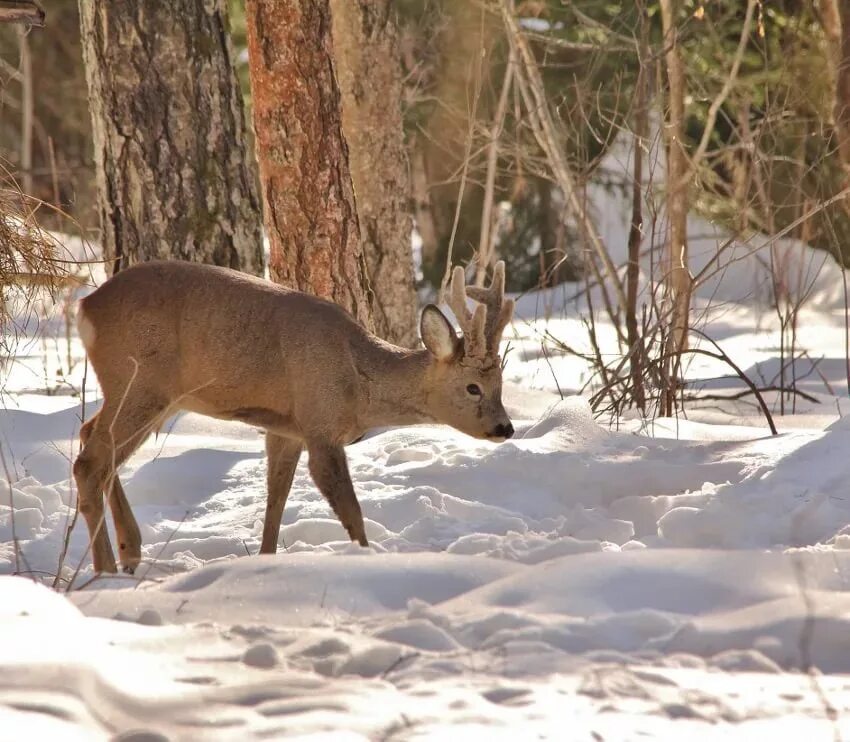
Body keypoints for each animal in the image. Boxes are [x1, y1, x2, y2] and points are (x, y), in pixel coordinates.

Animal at [74, 262, 510, 576]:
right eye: (473, 387)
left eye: (501, 383)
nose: (505, 427)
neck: (357, 384)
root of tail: (84, 308)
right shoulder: (320, 425)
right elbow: (352, 511)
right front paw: (366, 560)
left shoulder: (287, 430)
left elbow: (276, 500)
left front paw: (267, 561)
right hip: (139, 381)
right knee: (90, 462)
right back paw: (106, 569)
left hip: (152, 395)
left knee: (91, 437)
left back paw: (131, 552)